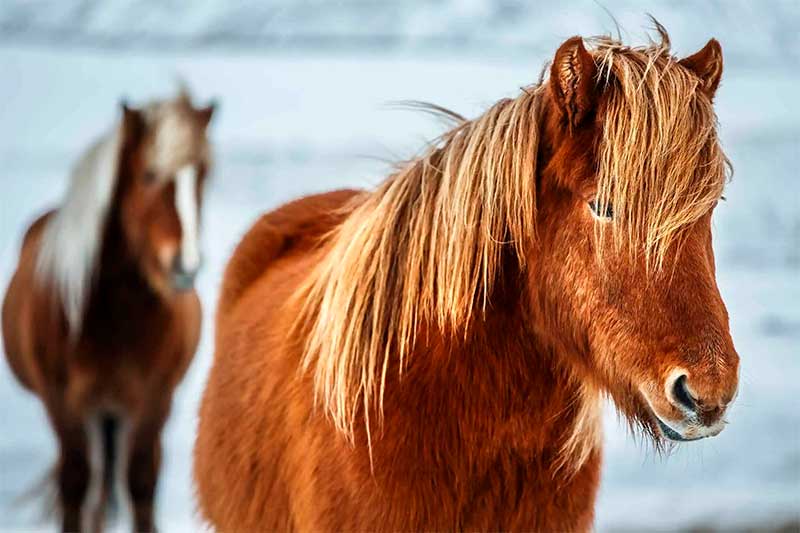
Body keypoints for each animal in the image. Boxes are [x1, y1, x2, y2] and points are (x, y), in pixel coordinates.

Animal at [1, 89, 214, 528]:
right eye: (148, 174)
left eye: (203, 174)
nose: (184, 266)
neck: (115, 318)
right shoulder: (63, 402)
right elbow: (75, 482)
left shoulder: (154, 400)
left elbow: (141, 482)